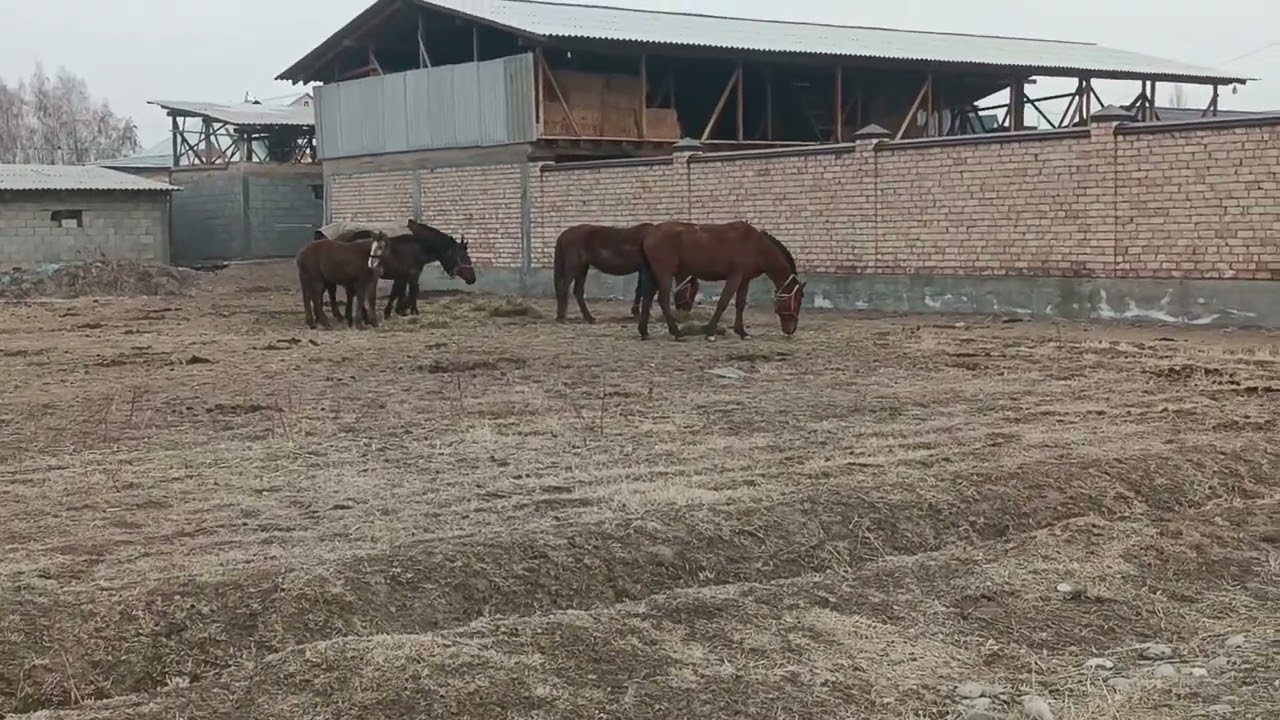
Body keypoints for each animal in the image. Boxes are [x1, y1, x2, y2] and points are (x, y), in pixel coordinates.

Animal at [552, 222, 699, 323]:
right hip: (574, 267)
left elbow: (640, 290)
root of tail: (565, 234)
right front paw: (639, 314)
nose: (686, 313)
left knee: (578, 292)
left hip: (583, 268)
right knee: (563, 288)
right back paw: (561, 317)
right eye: (690, 291)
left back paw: (589, 318)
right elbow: (642, 290)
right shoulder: (645, 269)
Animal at [635, 221, 806, 340]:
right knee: (662, 299)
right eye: (797, 302)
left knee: (647, 298)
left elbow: (740, 304)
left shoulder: (745, 279)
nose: (790, 330)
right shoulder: (734, 277)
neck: (756, 245)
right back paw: (677, 333)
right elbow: (723, 302)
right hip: (664, 274)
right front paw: (710, 332)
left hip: (653, 274)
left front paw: (742, 332)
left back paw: (644, 332)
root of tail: (650, 233)